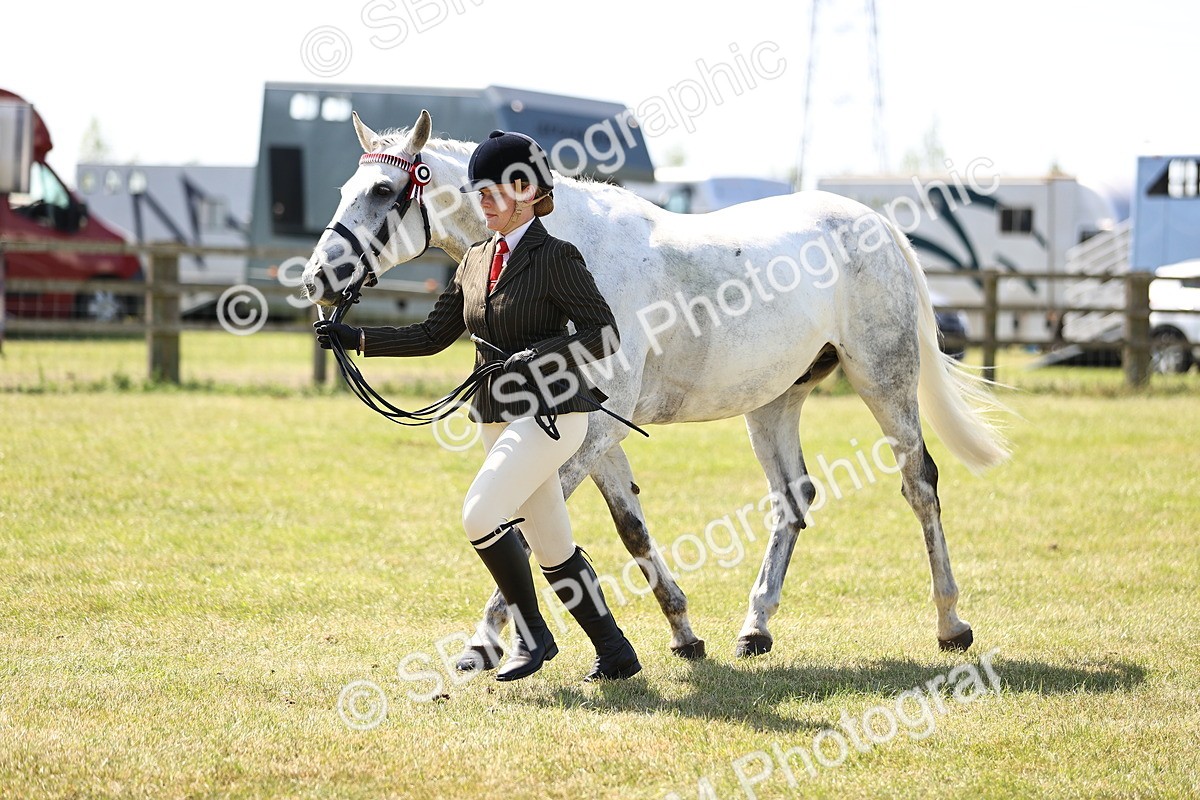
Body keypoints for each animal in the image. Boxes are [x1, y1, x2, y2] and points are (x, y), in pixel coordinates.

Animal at [301, 110, 1010, 665]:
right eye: (344, 188)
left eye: (384, 188)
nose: (315, 279)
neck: (567, 249)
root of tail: (879, 225)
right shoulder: (598, 435)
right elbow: (630, 529)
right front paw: (683, 633)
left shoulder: (587, 432)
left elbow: (527, 531)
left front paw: (484, 643)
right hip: (774, 400)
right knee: (792, 498)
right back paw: (755, 627)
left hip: (884, 380)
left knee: (919, 483)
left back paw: (951, 623)